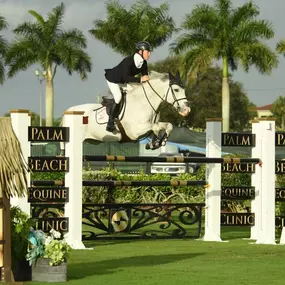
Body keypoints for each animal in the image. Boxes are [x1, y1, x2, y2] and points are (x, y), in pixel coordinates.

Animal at [59, 70, 190, 153]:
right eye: (176, 90)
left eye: (184, 89)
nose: (186, 110)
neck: (144, 103)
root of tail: (67, 112)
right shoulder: (135, 131)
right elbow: (156, 127)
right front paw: (156, 143)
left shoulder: (152, 124)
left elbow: (168, 125)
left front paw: (159, 143)